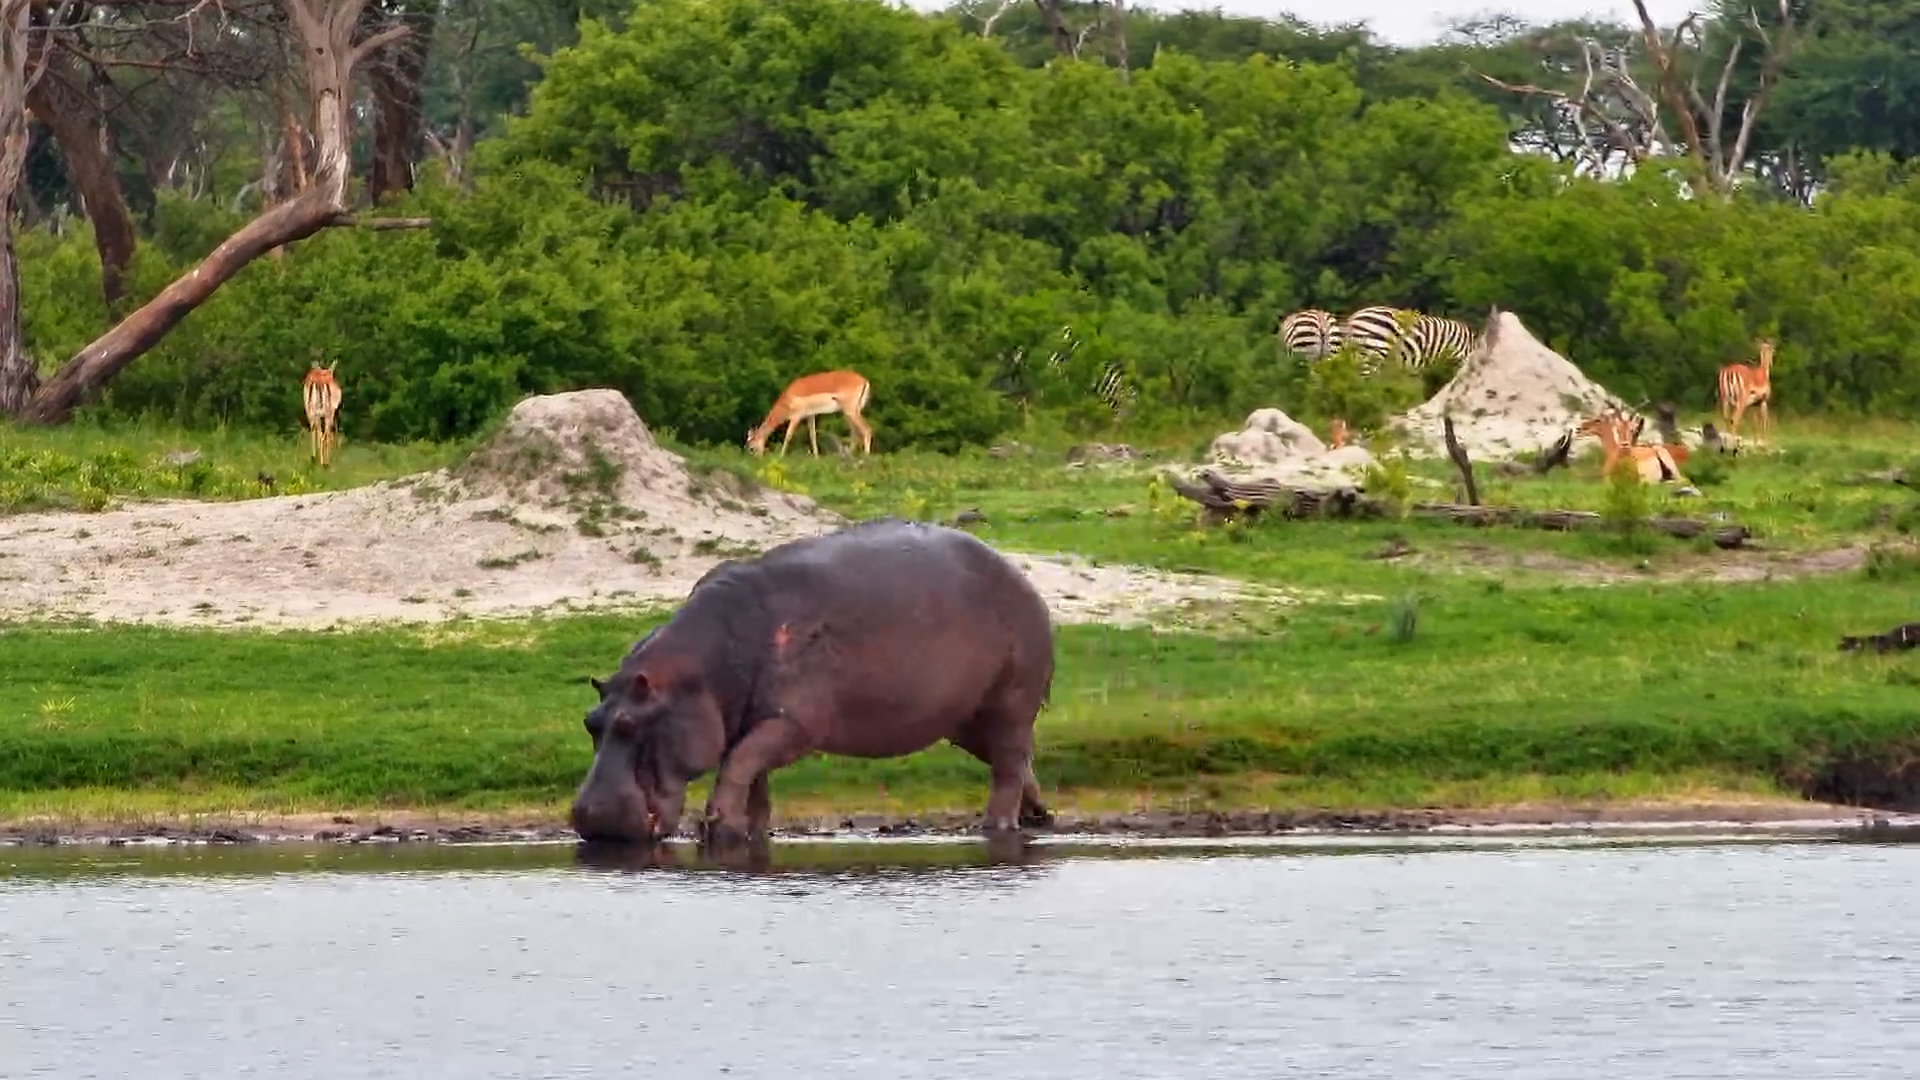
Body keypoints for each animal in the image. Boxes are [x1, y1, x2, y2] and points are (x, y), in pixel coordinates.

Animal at [569, 518, 1057, 847]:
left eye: (631, 724)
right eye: (591, 721)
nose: (590, 815)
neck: (699, 670)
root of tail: (1023, 578)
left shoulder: (793, 722)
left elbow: (742, 763)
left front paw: (717, 828)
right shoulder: (743, 720)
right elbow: (749, 772)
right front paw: (750, 830)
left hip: (1010, 701)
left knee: (1008, 763)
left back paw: (996, 826)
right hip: (963, 720)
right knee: (1015, 759)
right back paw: (1039, 815)